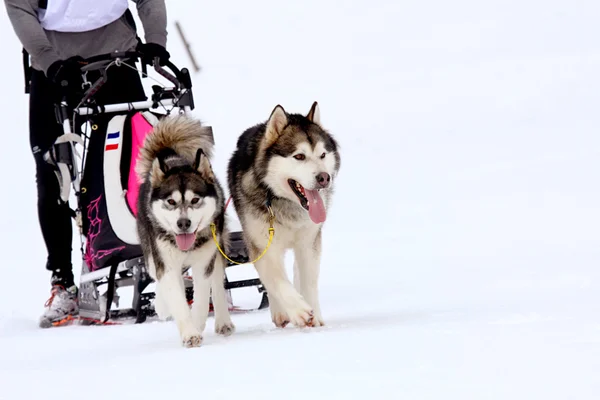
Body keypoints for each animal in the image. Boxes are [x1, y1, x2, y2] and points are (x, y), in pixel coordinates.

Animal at [135, 113, 234, 346]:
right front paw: (189, 332)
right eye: (171, 201)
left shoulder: (204, 263)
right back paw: (162, 306)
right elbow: (177, 299)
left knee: (217, 284)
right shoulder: (165, 262)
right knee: (161, 278)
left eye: (195, 200)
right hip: (150, 252)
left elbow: (201, 298)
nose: (183, 223)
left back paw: (223, 321)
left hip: (218, 248)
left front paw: (196, 325)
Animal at [226, 101, 340, 328]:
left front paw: (315, 316)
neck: (285, 204)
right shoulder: (261, 244)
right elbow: (276, 280)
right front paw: (298, 311)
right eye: (299, 156)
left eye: (323, 155)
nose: (324, 178)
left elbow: (308, 280)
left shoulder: (309, 241)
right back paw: (280, 312)